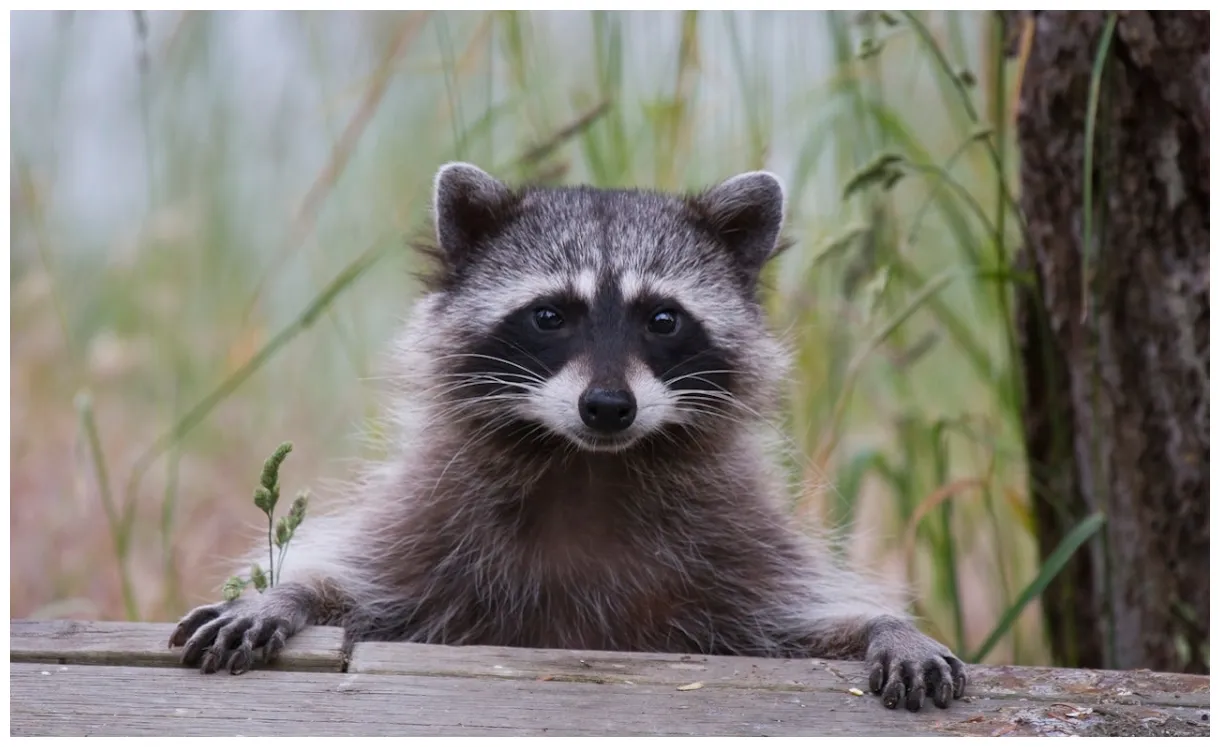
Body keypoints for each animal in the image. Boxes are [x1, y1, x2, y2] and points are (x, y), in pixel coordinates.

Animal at [169, 163, 967, 712]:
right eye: (550, 315)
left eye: (663, 319)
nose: (608, 407)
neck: (588, 465)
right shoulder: (433, 521)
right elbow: (362, 585)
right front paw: (287, 594)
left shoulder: (735, 545)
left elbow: (799, 619)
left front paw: (886, 625)